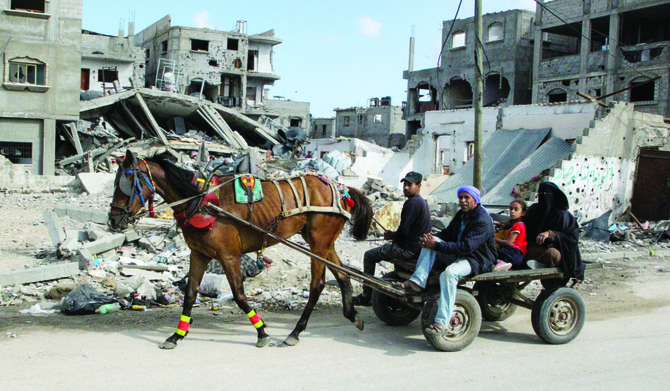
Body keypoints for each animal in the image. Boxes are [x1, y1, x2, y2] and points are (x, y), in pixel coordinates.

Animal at [107, 150, 376, 350]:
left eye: (126, 182)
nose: (113, 220)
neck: (202, 203)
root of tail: (341, 189)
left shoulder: (229, 256)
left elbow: (239, 295)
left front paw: (262, 332)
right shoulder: (199, 254)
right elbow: (190, 294)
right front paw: (177, 334)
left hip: (319, 242)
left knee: (317, 285)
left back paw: (296, 331)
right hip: (320, 241)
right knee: (342, 276)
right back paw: (351, 315)